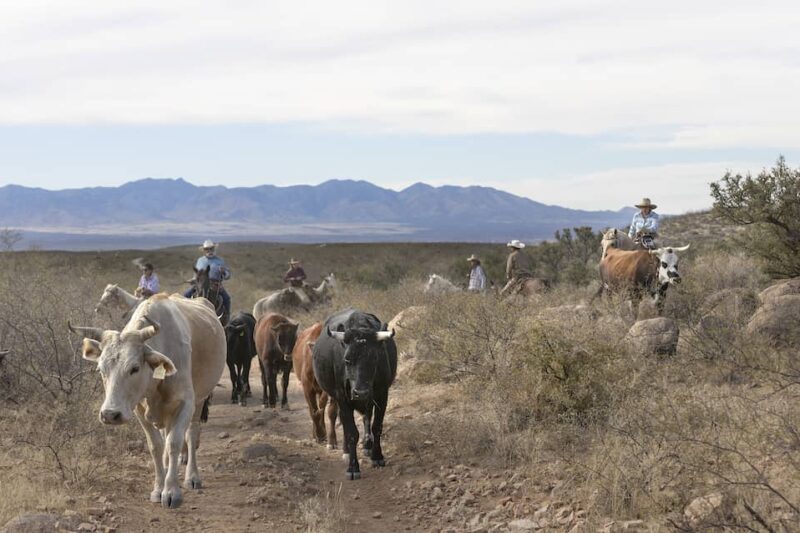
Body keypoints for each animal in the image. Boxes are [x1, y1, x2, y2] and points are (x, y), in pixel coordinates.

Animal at [69, 294, 227, 510]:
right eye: (100, 369)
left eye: (134, 368)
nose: (110, 414)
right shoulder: (137, 409)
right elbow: (156, 446)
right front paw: (159, 489)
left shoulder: (186, 404)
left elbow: (175, 442)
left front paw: (172, 492)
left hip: (201, 399)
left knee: (191, 434)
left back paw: (192, 477)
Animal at [314, 308, 398, 478]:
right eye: (347, 360)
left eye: (375, 358)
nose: (361, 392)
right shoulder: (342, 398)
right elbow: (351, 432)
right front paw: (353, 467)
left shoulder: (381, 395)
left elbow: (376, 426)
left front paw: (377, 456)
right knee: (340, 419)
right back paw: (345, 451)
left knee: (366, 417)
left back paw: (367, 445)